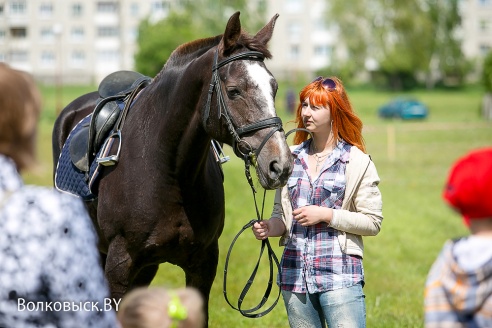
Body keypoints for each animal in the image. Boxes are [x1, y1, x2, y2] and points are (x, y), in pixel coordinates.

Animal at [52, 12, 292, 322]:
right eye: (234, 91)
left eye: (274, 87)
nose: (280, 164)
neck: (167, 172)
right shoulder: (119, 266)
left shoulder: (203, 265)